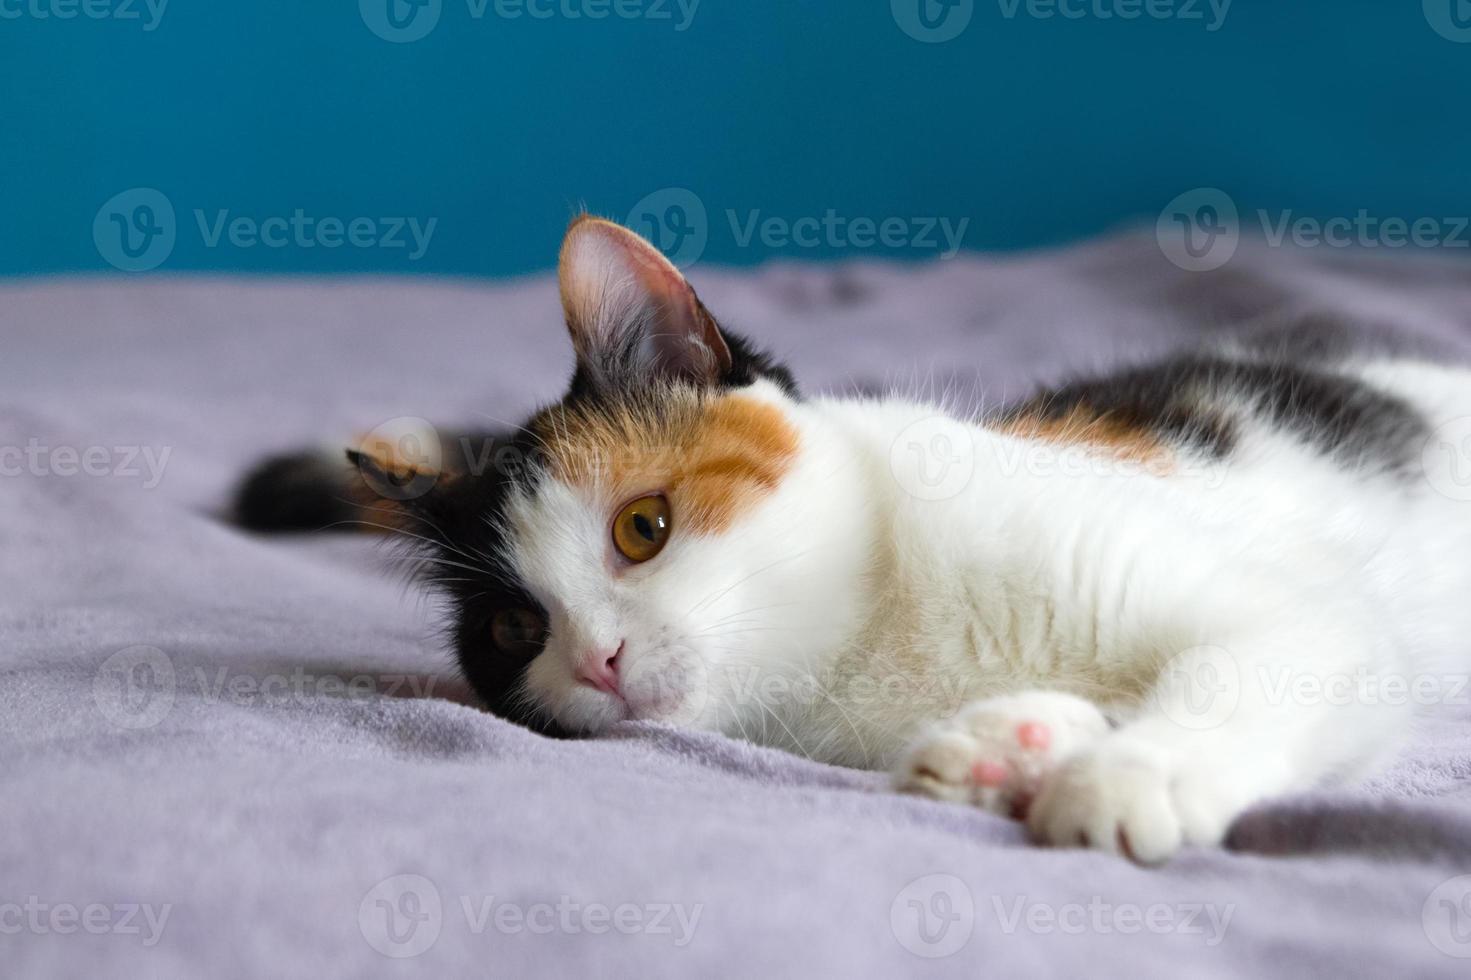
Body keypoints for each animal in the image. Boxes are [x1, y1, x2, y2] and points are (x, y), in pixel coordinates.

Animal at [235, 216, 1471, 865]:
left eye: (643, 526)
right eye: (512, 628)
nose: (598, 659)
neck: (873, 641)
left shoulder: (1305, 613)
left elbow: (1247, 661)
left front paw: (1126, 770)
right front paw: (1009, 745)